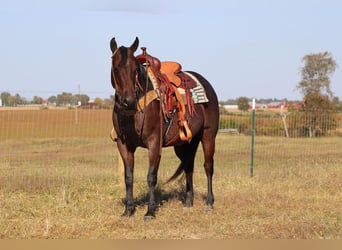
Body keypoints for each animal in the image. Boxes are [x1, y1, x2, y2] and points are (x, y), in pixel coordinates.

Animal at [109, 36, 219, 220]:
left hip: (208, 136)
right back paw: (188, 203)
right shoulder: (123, 145)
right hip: (183, 143)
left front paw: (150, 212)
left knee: (208, 167)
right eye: (116, 68)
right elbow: (128, 177)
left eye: (135, 70)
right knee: (189, 167)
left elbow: (151, 176)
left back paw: (209, 203)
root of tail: (207, 85)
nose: (128, 101)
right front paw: (128, 210)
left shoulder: (154, 143)